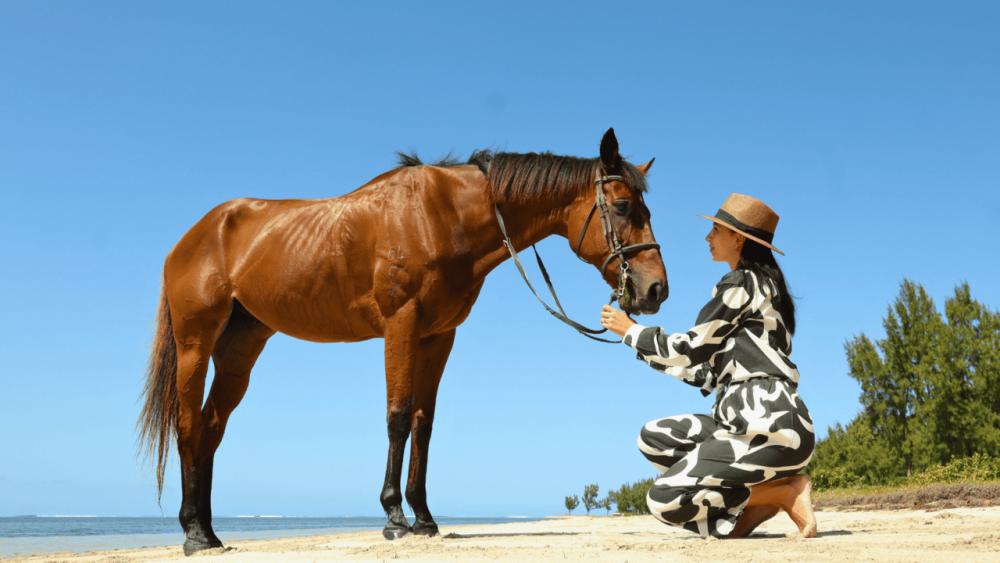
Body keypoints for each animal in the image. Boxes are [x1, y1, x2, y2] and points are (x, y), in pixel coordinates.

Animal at [138, 128, 668, 555]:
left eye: (647, 208)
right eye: (623, 206)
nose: (655, 290)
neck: (443, 215)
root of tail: (192, 236)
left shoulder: (438, 336)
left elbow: (422, 423)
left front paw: (425, 518)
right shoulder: (402, 325)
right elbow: (396, 417)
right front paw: (394, 517)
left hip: (240, 350)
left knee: (211, 428)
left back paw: (210, 533)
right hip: (195, 345)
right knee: (188, 426)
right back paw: (192, 532)